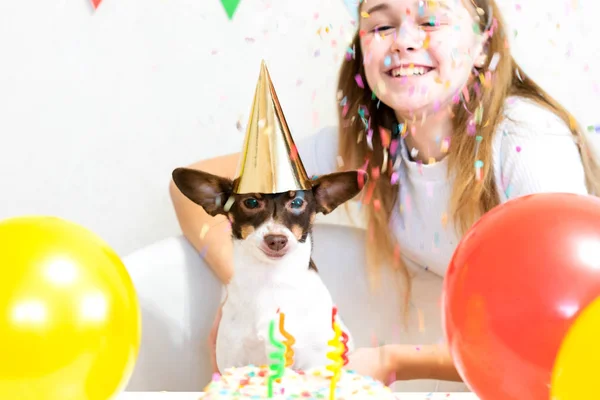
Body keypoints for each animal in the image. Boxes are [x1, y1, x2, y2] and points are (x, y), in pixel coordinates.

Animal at [171, 166, 368, 372]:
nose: (276, 240)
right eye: (251, 202)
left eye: (297, 202)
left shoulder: (314, 363)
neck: (271, 279)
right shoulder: (232, 361)